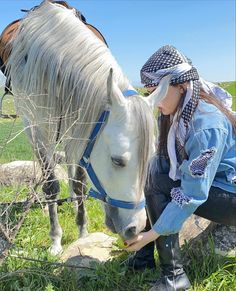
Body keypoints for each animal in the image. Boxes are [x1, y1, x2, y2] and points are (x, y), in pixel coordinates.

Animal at [6, 1, 171, 254]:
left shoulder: (83, 129)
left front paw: (82, 232)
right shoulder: (36, 129)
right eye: (117, 161)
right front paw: (55, 240)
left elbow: (80, 183)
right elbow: (51, 186)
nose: (135, 228)